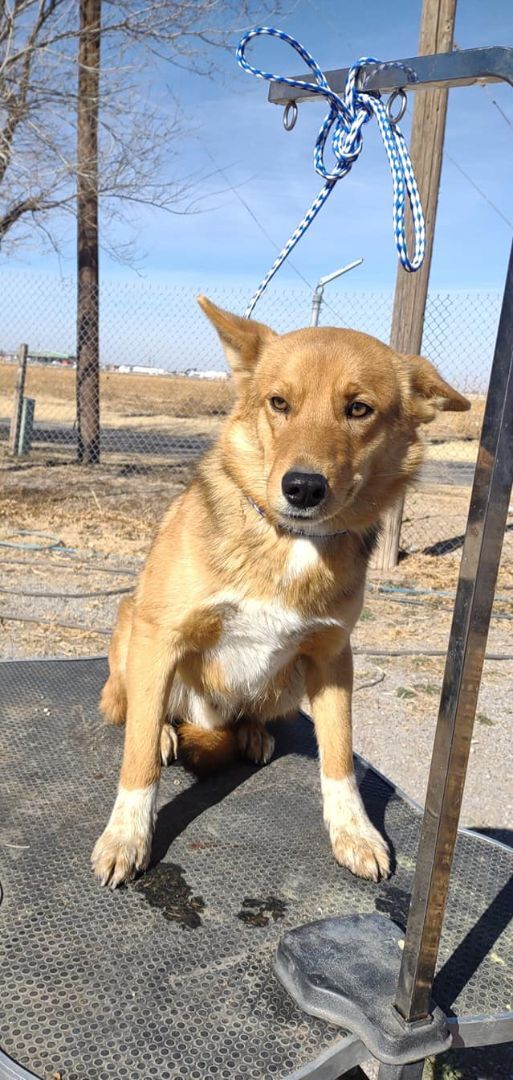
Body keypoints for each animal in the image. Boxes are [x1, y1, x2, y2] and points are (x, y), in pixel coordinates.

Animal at [91, 295, 470, 885]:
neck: (290, 542)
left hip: (289, 682)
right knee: (140, 713)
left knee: (249, 717)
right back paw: (164, 732)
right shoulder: (162, 635)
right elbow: (136, 762)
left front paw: (354, 832)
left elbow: (340, 753)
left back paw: (251, 732)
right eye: (278, 403)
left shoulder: (334, 656)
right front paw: (127, 836)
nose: (303, 488)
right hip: (132, 634)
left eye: (358, 409)